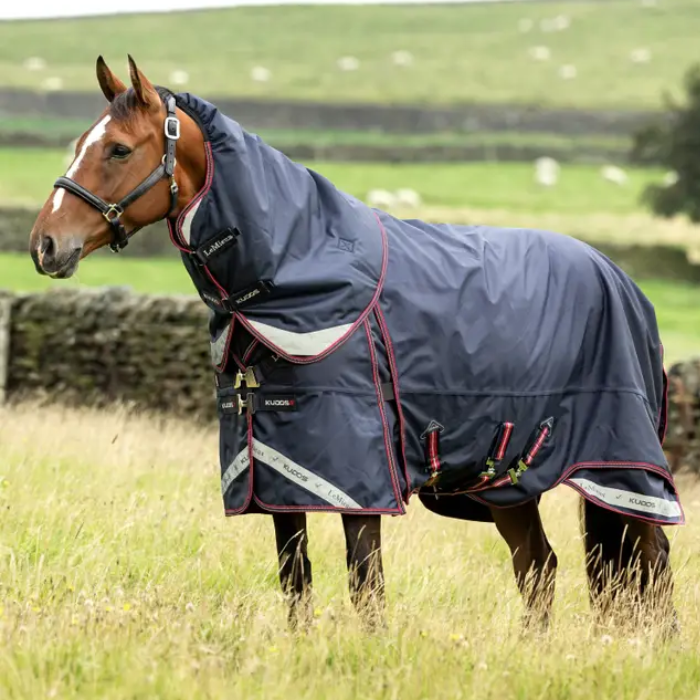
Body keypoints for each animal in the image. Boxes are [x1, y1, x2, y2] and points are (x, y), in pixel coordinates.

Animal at [28, 56, 681, 634]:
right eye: (82, 143)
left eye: (118, 149)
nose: (44, 245)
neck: (297, 272)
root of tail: (623, 282)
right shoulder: (277, 477)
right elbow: (296, 583)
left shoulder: (359, 480)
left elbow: (365, 587)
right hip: (509, 480)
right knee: (539, 569)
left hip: (621, 468)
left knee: (652, 562)